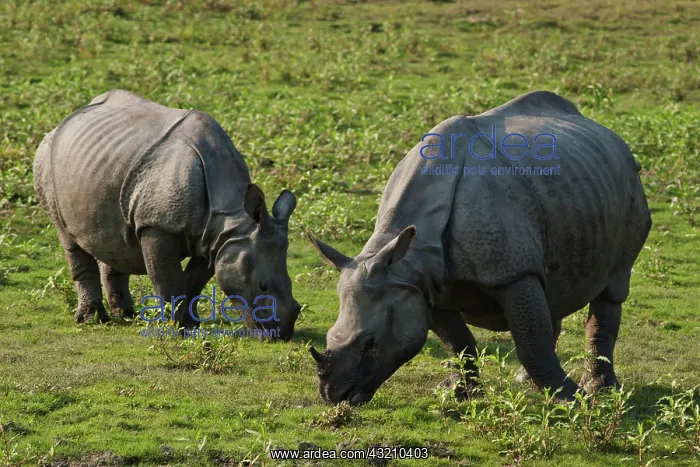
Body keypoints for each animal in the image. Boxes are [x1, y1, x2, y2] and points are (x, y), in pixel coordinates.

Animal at [34, 89, 301, 340]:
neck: (232, 215)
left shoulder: (216, 238)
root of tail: (64, 120)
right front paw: (174, 329)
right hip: (45, 158)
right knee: (68, 236)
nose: (281, 333)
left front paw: (190, 326)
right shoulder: (157, 225)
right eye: (262, 285)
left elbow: (193, 282)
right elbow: (167, 280)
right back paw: (92, 320)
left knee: (111, 239)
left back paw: (126, 315)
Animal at [308, 91, 652, 404]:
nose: (334, 396)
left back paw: (600, 390)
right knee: (551, 285)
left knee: (612, 286)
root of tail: (607, 133)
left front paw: (572, 402)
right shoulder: (420, 285)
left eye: (369, 343)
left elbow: (530, 342)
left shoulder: (510, 271)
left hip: (630, 186)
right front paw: (458, 393)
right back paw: (525, 380)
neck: (408, 257)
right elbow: (458, 342)